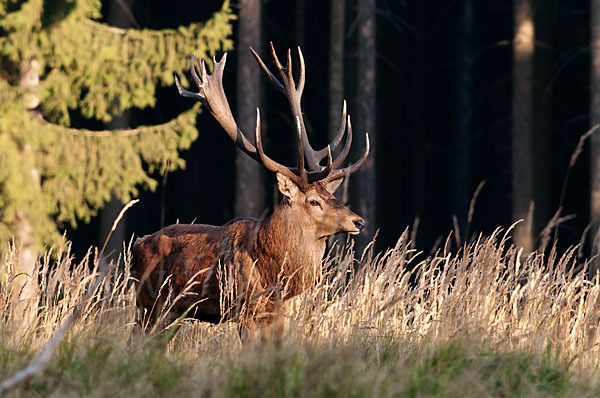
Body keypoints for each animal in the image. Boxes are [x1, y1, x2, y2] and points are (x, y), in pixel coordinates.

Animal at [129, 44, 368, 338]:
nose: (358, 221)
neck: (277, 276)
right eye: (314, 201)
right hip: (147, 303)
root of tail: (136, 246)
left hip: (171, 312)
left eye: (332, 195)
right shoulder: (245, 307)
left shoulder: (281, 312)